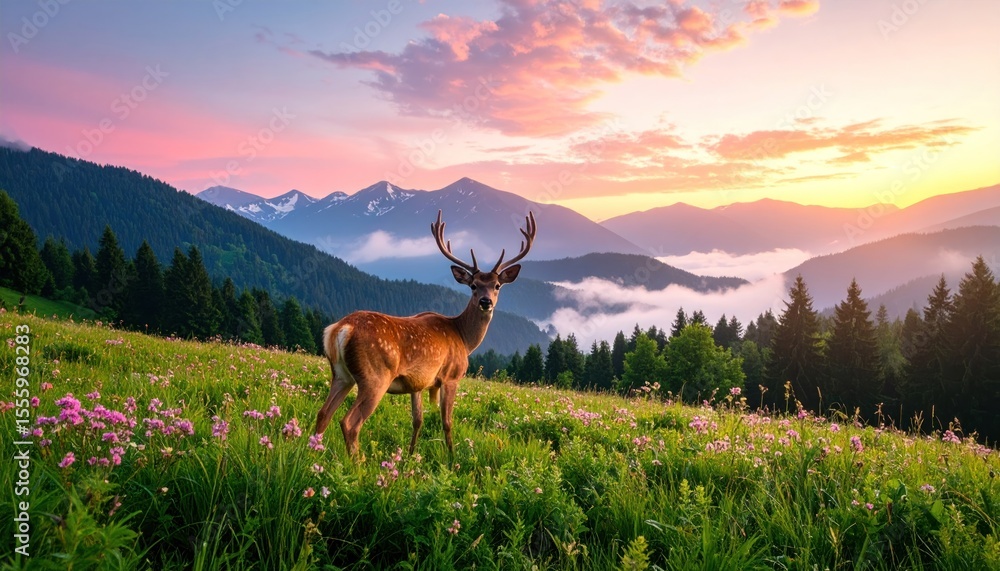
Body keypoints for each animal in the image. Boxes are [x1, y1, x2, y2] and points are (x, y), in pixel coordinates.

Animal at [313, 209, 536, 460]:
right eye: (473, 285)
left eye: (497, 285)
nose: (485, 302)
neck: (464, 338)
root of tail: (340, 328)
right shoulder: (451, 376)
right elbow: (447, 422)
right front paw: (452, 457)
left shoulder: (417, 382)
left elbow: (417, 420)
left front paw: (410, 456)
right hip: (375, 376)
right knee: (349, 422)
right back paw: (358, 463)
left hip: (341, 374)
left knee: (323, 413)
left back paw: (312, 452)